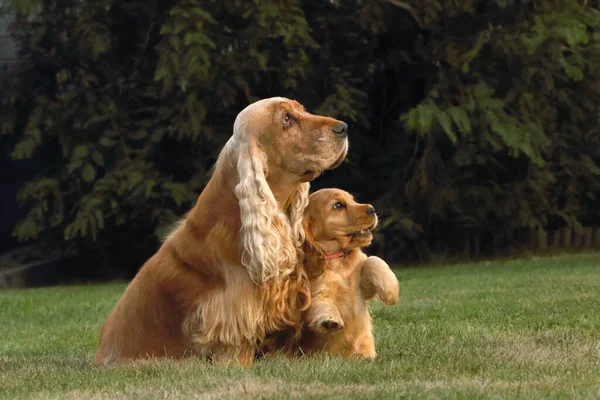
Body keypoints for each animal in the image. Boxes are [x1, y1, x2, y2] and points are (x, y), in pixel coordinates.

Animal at [298, 189, 400, 358]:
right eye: (338, 205)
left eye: (353, 200)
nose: (372, 209)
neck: (340, 259)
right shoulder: (315, 294)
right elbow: (322, 304)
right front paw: (330, 321)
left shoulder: (363, 289)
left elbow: (372, 260)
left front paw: (391, 291)